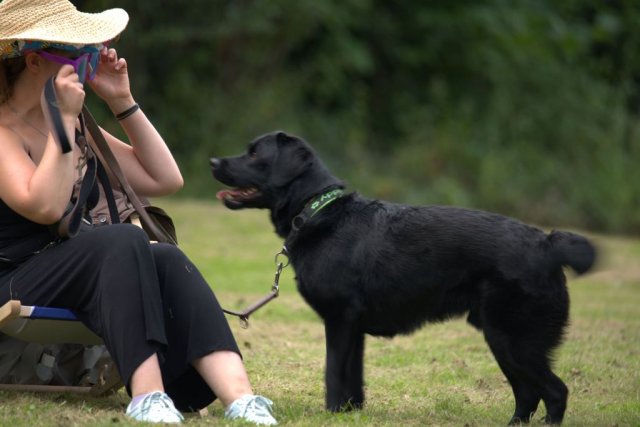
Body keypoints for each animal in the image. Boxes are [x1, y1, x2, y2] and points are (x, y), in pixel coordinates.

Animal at [210, 131, 596, 425]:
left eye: (254, 153)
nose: (213, 162)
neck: (318, 212)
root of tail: (547, 243)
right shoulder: (354, 329)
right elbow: (354, 382)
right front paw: (351, 414)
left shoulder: (339, 321)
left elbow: (333, 375)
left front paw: (332, 414)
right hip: (503, 340)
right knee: (528, 394)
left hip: (514, 340)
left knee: (555, 392)